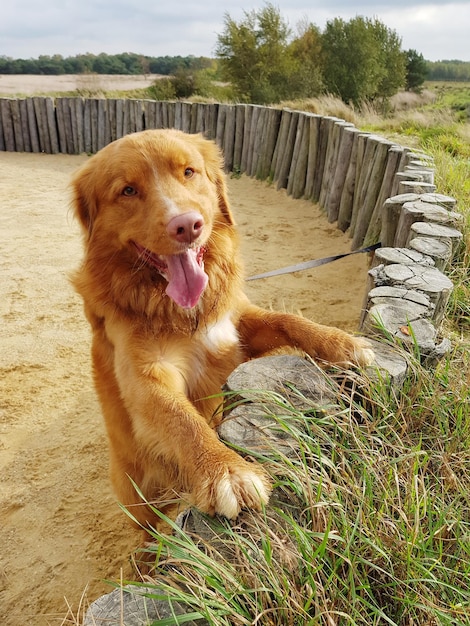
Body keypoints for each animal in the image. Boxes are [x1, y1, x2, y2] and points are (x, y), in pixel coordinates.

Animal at [70, 129, 374, 528]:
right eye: (128, 190)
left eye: (188, 171)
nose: (186, 225)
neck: (181, 310)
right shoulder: (145, 376)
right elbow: (180, 417)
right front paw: (227, 472)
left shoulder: (237, 327)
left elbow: (288, 320)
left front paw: (343, 344)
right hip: (139, 494)